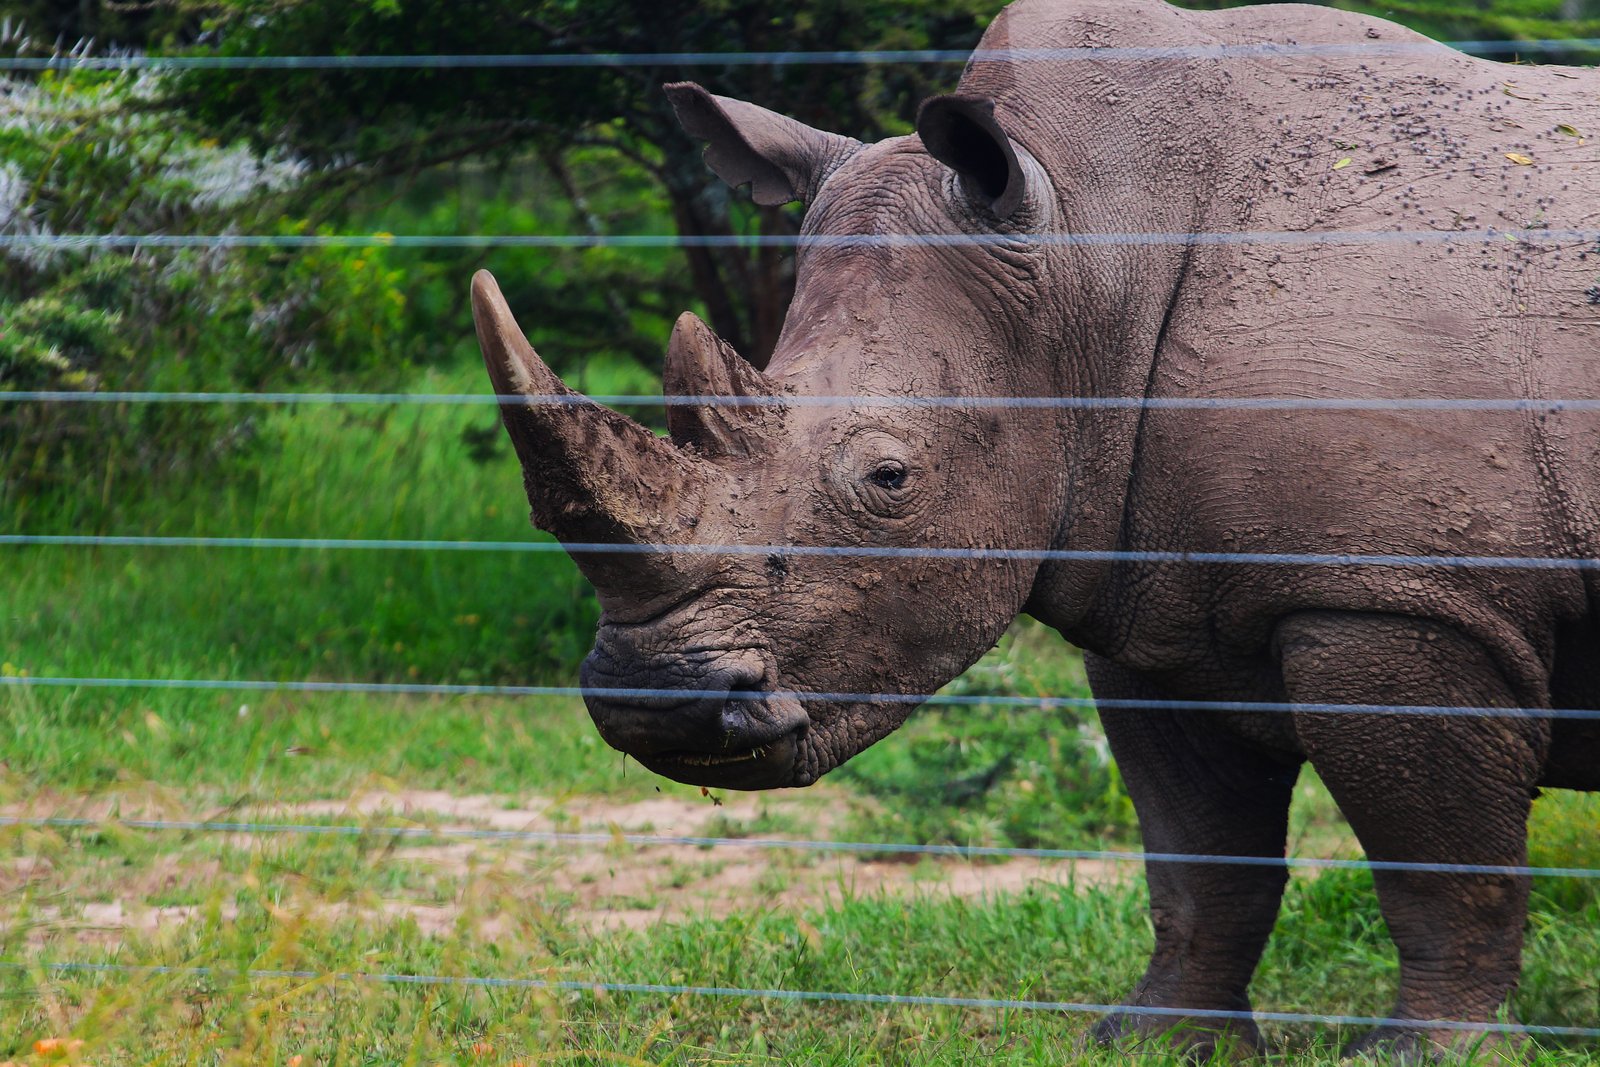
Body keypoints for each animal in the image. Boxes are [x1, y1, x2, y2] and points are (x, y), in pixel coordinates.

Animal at [471, 0, 1600, 1056]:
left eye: (889, 477)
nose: (656, 704)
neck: (1086, 258)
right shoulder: (1161, 596)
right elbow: (1198, 851)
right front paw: (1151, 1039)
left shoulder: (1400, 593)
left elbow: (1438, 856)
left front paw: (1427, 1052)